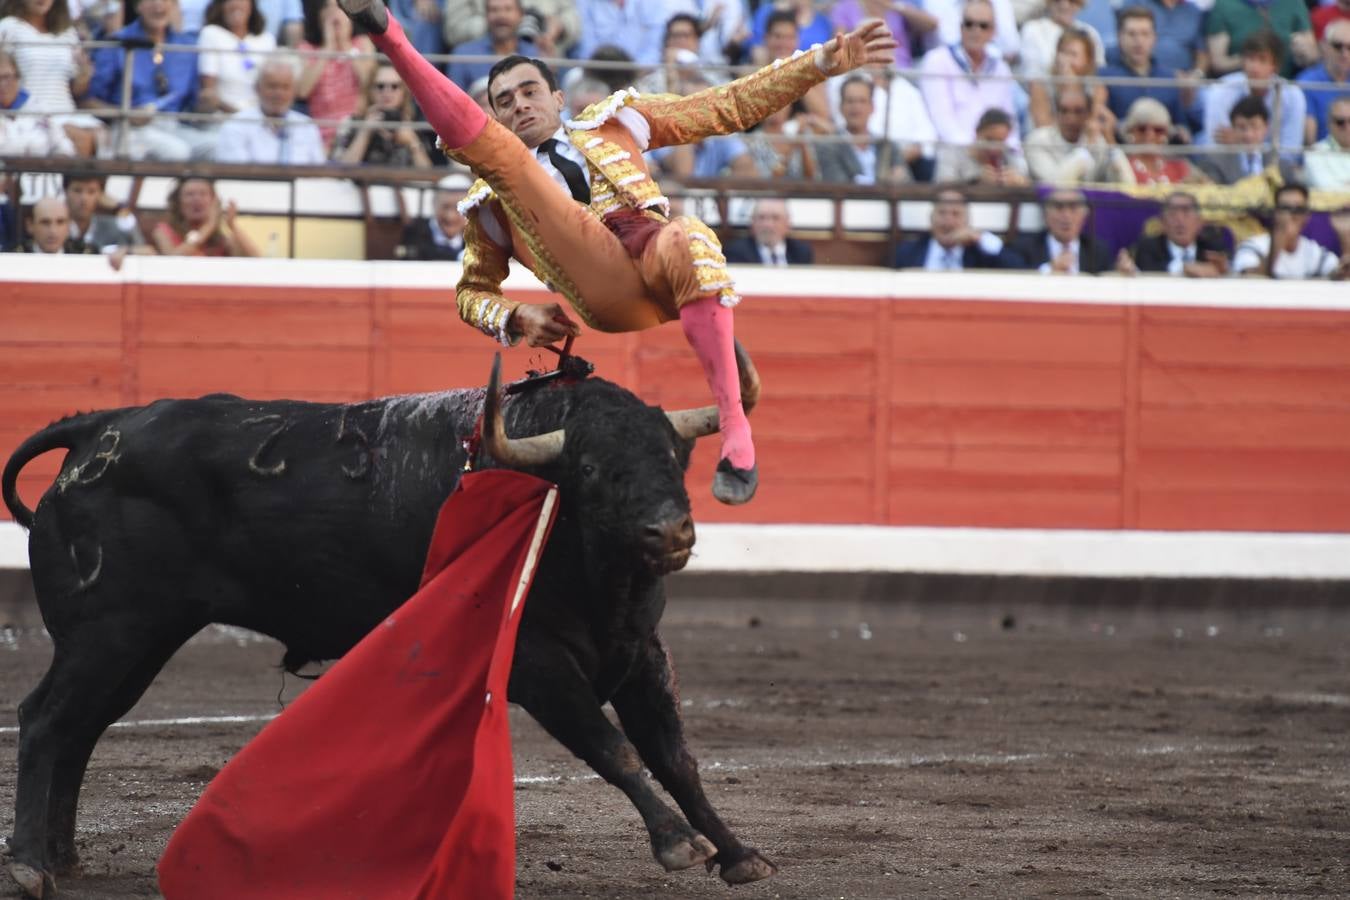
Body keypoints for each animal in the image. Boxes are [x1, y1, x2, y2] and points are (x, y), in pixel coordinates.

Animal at [0, 350, 777, 895]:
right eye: (591, 469)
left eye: (674, 457)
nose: (668, 532)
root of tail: (98, 428)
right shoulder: (538, 661)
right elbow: (614, 748)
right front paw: (678, 843)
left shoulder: (640, 652)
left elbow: (675, 756)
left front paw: (739, 853)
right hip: (108, 633)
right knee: (46, 719)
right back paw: (30, 865)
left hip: (139, 640)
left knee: (82, 728)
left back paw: (64, 858)